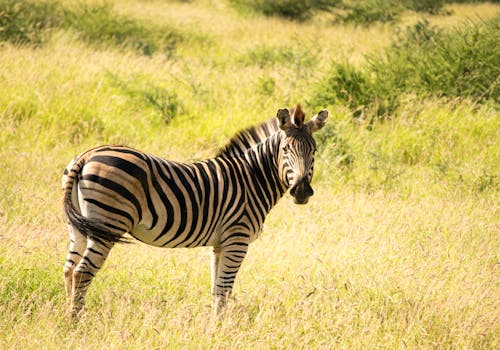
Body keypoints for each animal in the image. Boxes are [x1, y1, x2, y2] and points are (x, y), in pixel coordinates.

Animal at [61, 103, 328, 318]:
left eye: (314, 151)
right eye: (285, 150)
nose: (301, 191)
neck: (252, 178)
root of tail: (86, 156)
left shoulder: (220, 244)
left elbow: (217, 289)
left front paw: (216, 326)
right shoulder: (238, 239)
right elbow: (224, 289)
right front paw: (218, 329)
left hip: (79, 225)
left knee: (69, 270)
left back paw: (66, 318)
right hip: (108, 224)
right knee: (82, 272)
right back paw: (77, 321)